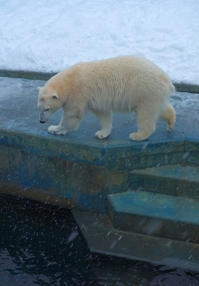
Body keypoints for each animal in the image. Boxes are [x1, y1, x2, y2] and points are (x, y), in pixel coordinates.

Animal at [37, 55, 176, 140]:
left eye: (47, 108)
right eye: (39, 107)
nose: (41, 121)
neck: (68, 81)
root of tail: (167, 80)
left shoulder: (77, 94)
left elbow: (71, 115)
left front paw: (55, 129)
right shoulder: (96, 100)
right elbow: (103, 115)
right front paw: (102, 133)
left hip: (145, 91)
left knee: (145, 115)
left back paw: (137, 135)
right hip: (154, 94)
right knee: (161, 109)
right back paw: (170, 124)